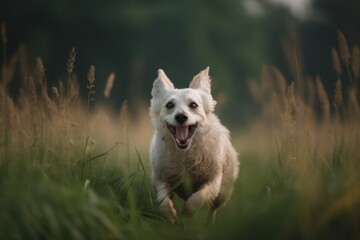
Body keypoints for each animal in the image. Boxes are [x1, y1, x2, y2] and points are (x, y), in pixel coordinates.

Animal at [149, 66, 239, 224]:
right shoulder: (160, 176)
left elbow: (199, 197)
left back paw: (209, 224)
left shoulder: (213, 179)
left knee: (213, 208)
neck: (186, 151)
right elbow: (162, 198)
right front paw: (170, 215)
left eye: (193, 105)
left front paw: (188, 211)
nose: (181, 117)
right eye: (169, 105)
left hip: (224, 191)